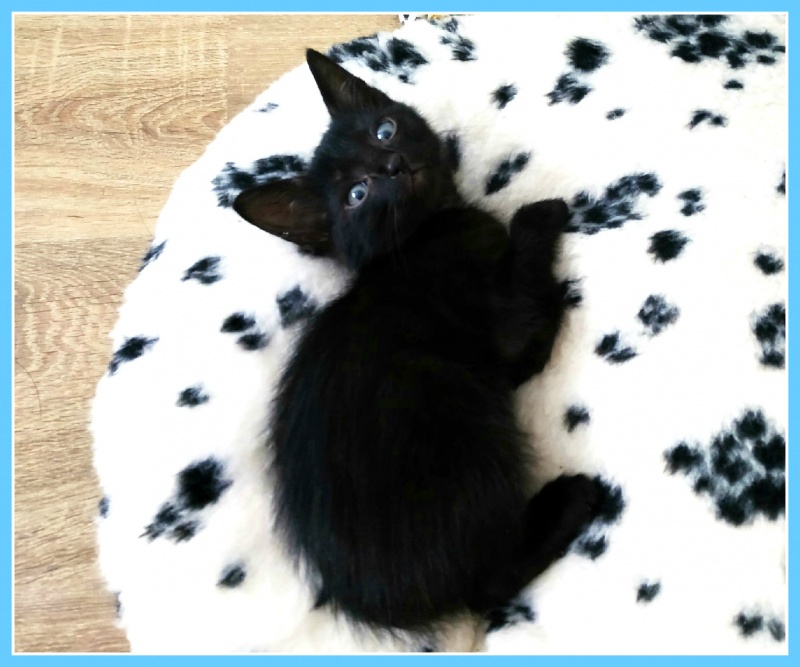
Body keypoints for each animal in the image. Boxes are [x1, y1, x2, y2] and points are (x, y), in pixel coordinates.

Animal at [233, 49, 600, 634]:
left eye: (384, 131)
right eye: (357, 195)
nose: (391, 167)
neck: (427, 230)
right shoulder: (506, 339)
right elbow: (527, 298)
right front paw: (542, 213)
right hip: (463, 418)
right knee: (487, 585)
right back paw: (570, 500)